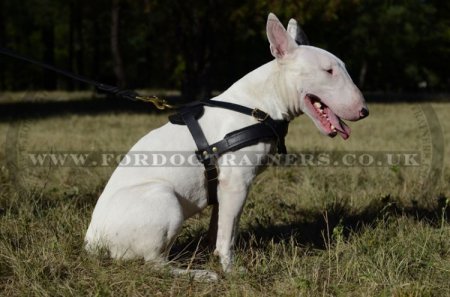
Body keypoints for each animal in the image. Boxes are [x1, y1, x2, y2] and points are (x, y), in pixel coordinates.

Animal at [84, 12, 370, 278]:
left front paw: (216, 255)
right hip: (163, 198)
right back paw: (199, 274)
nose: (364, 111)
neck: (261, 103)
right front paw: (230, 269)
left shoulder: (223, 187)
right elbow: (228, 232)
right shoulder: (237, 183)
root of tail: (92, 243)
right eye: (328, 71)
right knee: (155, 264)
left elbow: (220, 227)